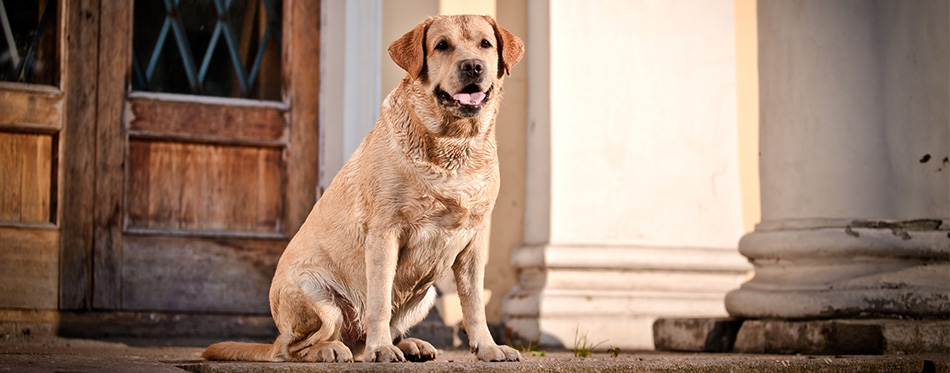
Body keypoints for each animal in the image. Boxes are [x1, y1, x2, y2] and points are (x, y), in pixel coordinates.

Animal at [204, 14, 524, 360]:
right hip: (313, 290)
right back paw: (333, 349)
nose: (473, 66)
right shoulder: (385, 233)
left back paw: (409, 345)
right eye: (442, 46)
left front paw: (488, 348)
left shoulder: (475, 238)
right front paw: (381, 349)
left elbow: (475, 304)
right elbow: (379, 301)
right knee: (297, 347)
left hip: (425, 296)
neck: (453, 146)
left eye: (485, 44)